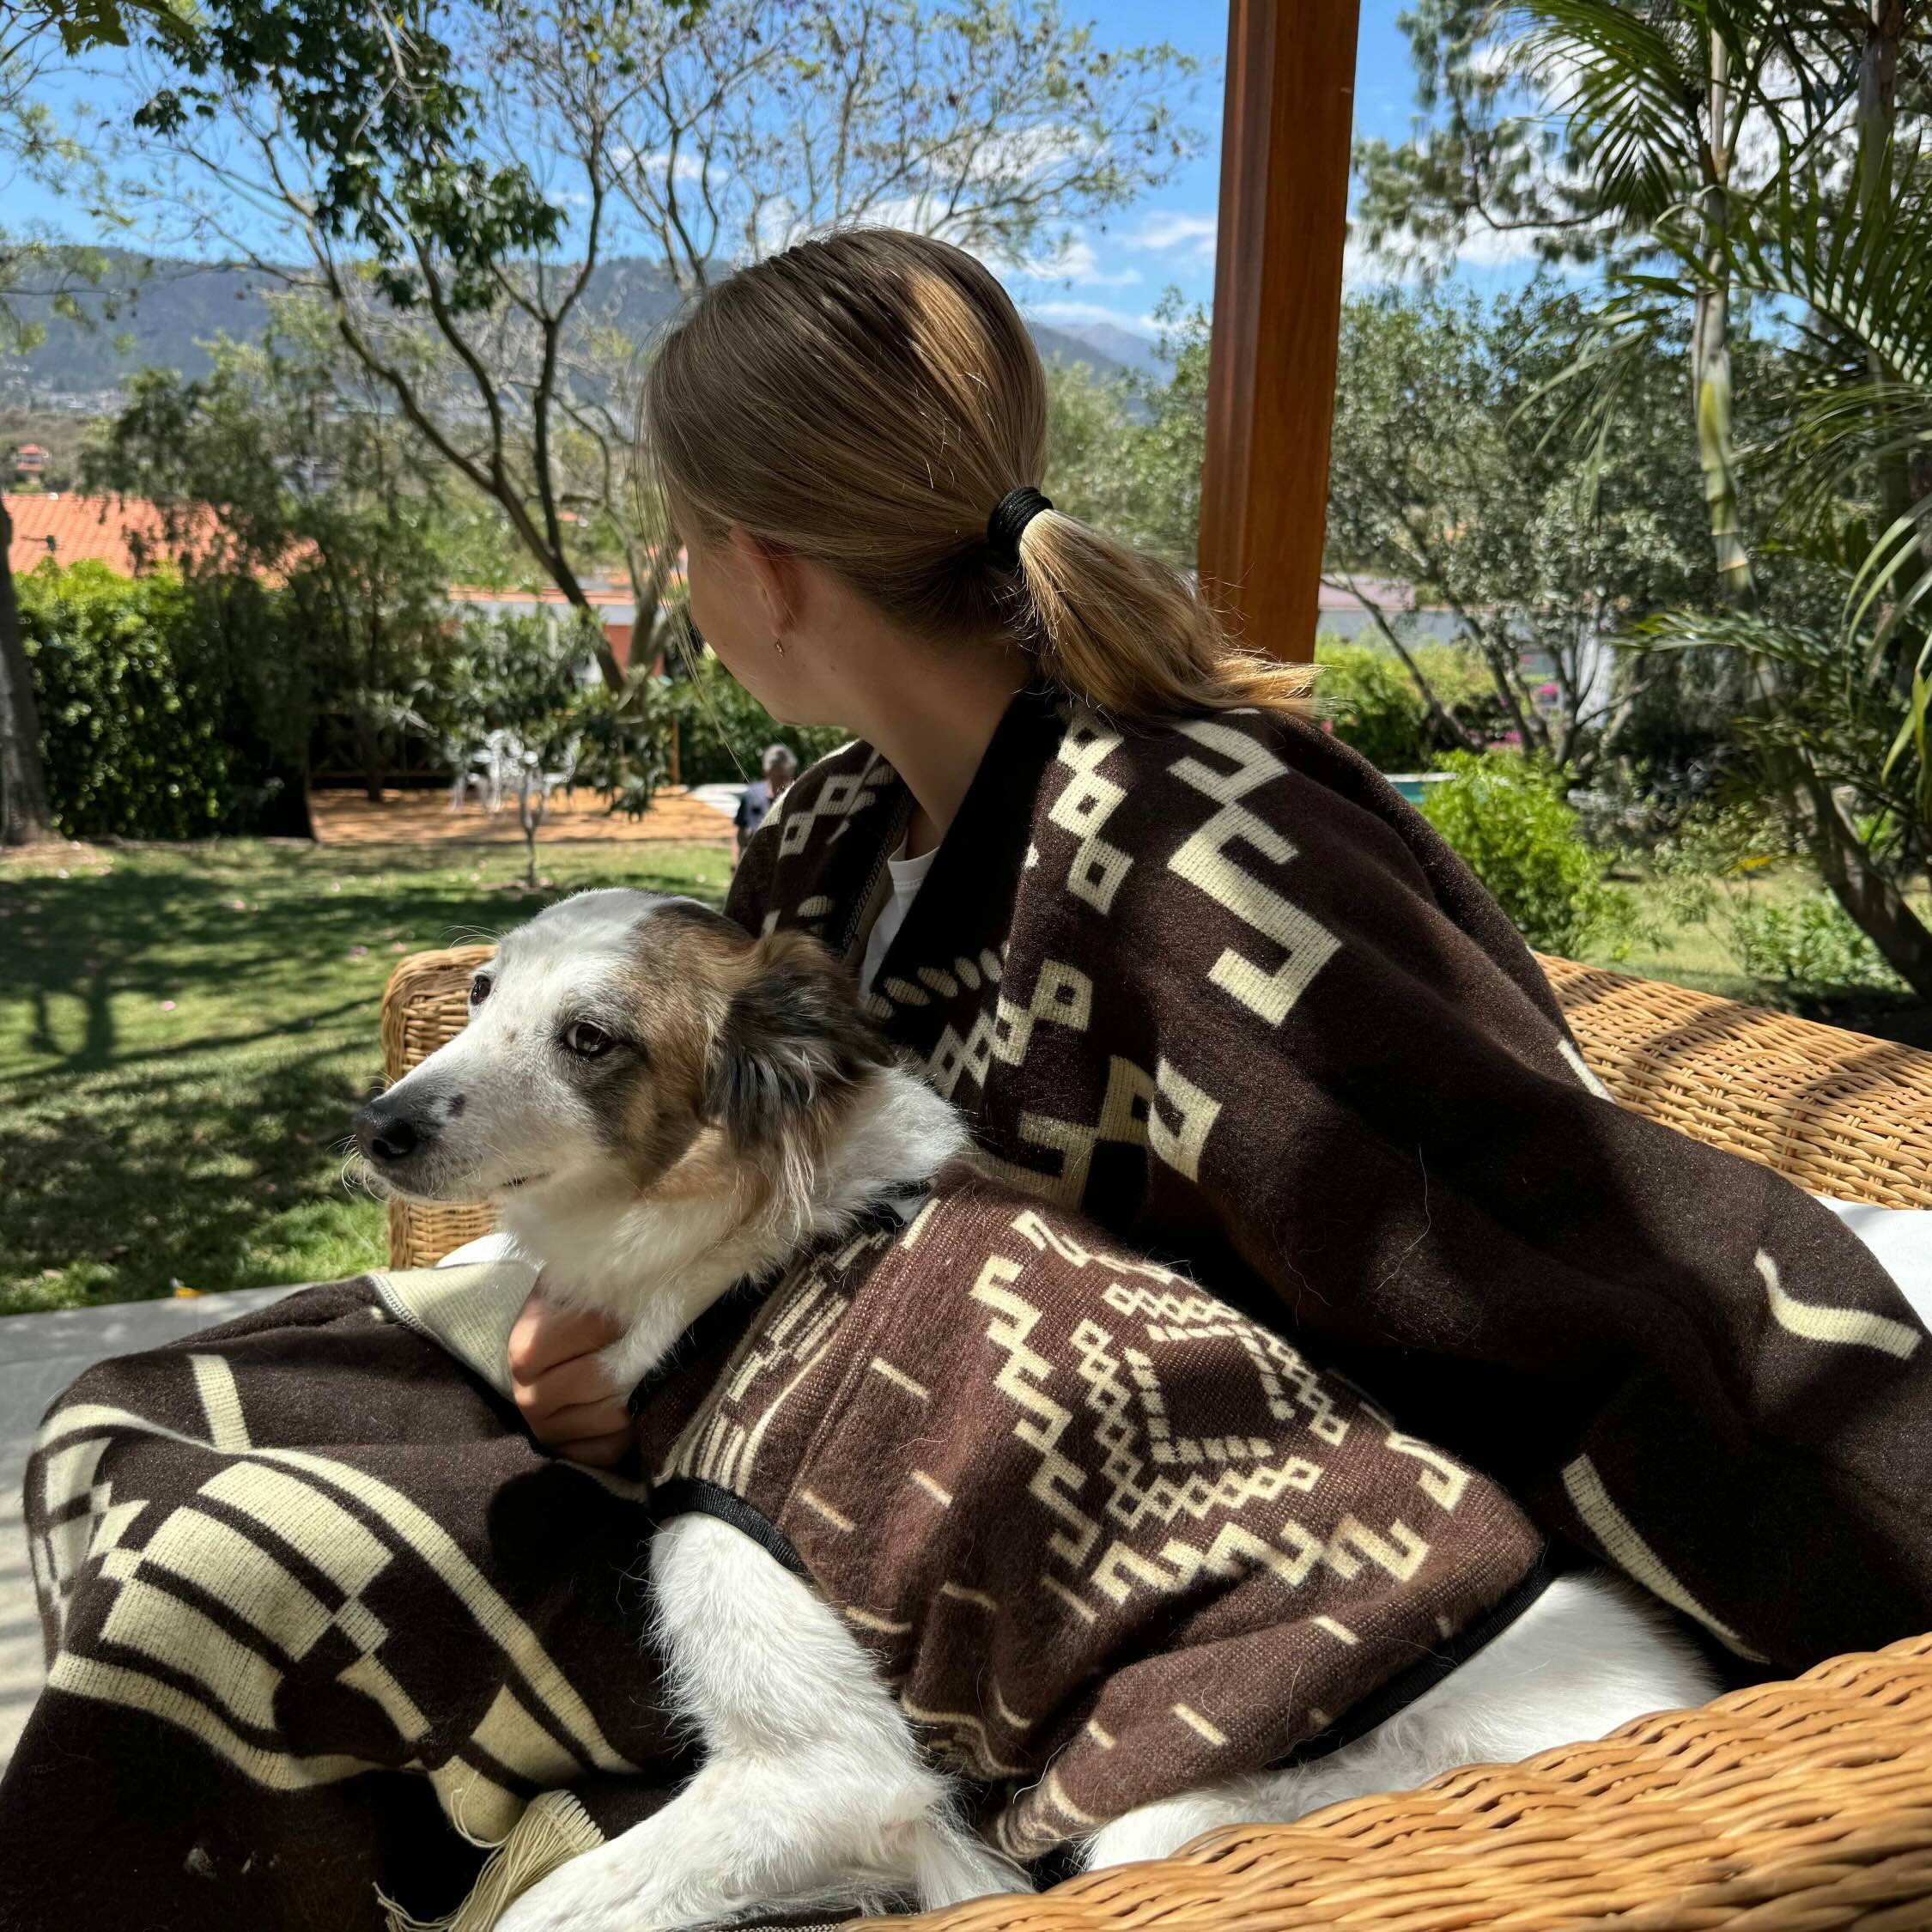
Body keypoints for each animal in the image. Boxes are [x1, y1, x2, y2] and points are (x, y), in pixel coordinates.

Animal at [363, 889, 1723, 1932]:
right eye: (479, 991)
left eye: (590, 1037)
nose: (376, 1125)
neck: (776, 1252)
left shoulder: (819, 1768)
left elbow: (549, 1908)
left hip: (1168, 1814)